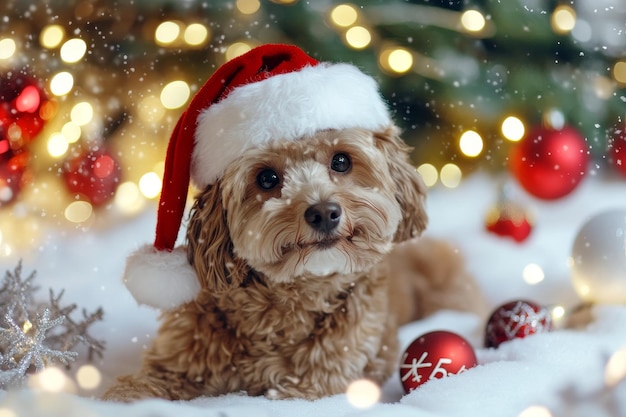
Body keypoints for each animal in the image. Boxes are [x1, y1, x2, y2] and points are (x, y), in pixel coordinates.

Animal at [103, 125, 482, 402]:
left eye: (341, 161)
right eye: (267, 178)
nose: (324, 212)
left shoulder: (320, 383)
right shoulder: (174, 362)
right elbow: (133, 390)